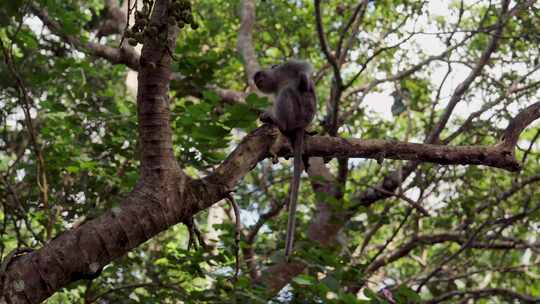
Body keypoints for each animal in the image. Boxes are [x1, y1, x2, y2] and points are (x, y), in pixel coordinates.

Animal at [253, 60, 316, 258]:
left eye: (259, 77)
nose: (257, 82)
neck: (277, 81)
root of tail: (303, 125)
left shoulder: (285, 69)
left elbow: (304, 68)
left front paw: (305, 80)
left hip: (299, 112)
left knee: (288, 93)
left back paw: (280, 123)